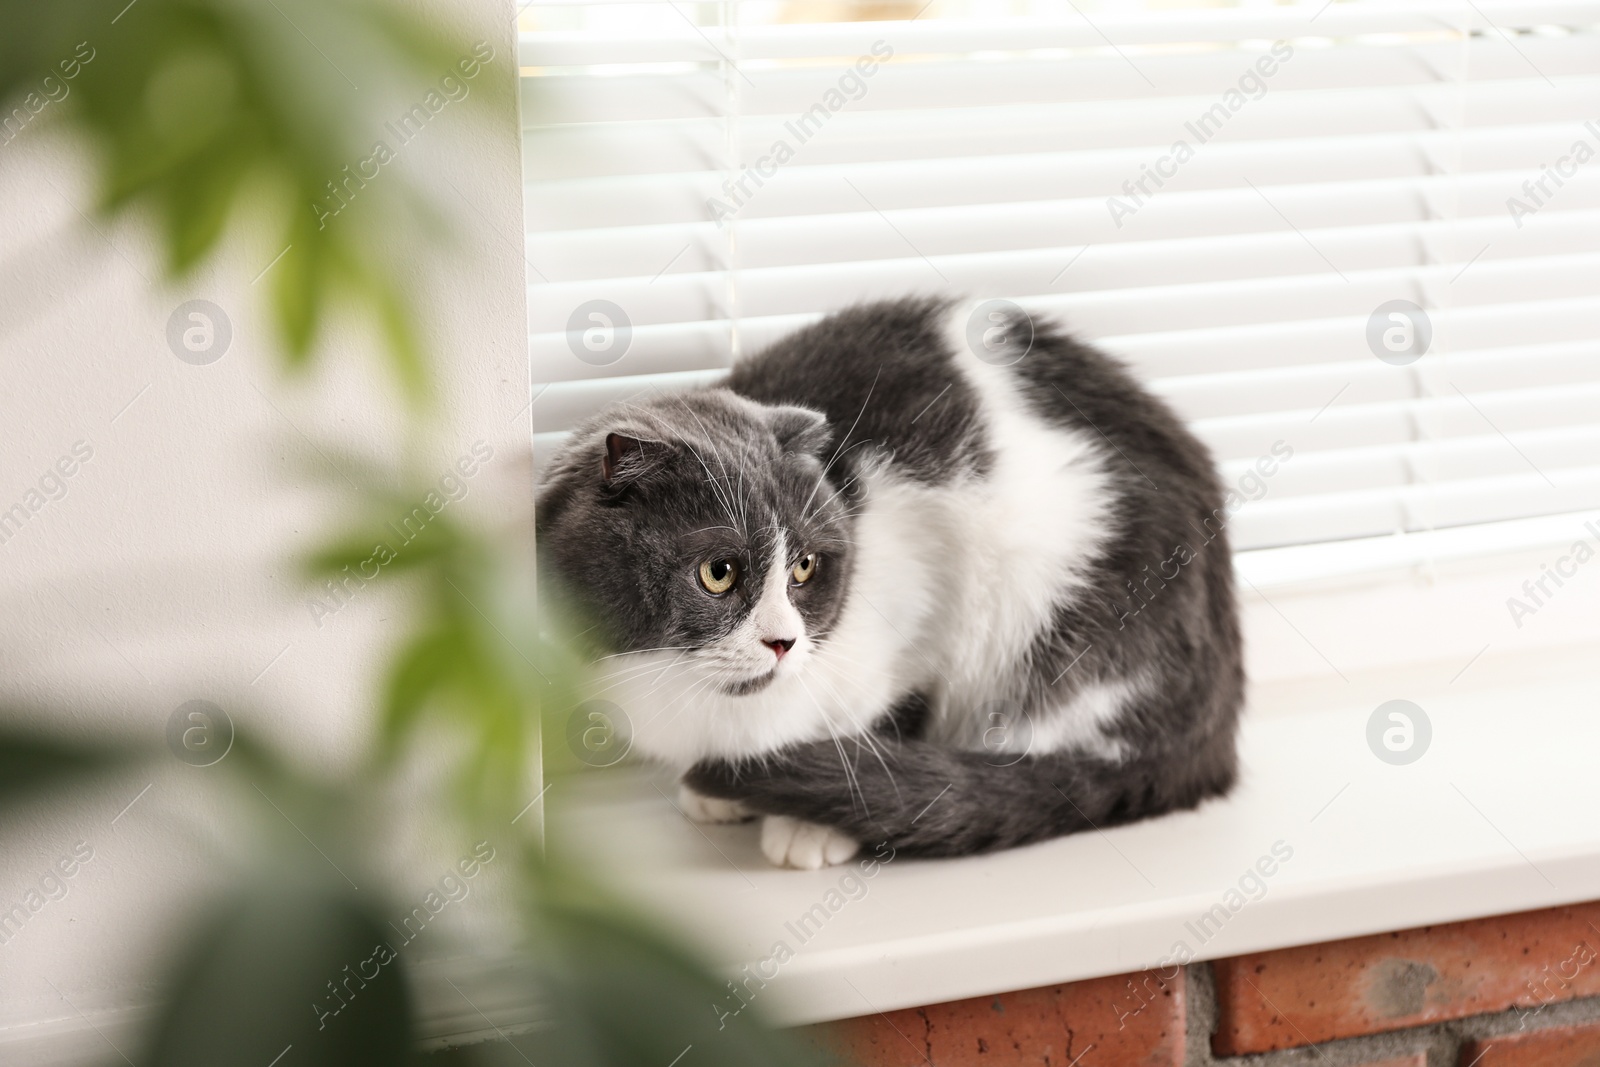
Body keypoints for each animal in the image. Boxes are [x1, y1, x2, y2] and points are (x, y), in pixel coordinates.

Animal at [534, 295, 1235, 870]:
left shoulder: (928, 586)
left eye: (804, 567)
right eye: (718, 572)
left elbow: (891, 712)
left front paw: (813, 824)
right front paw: (718, 793)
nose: (784, 642)